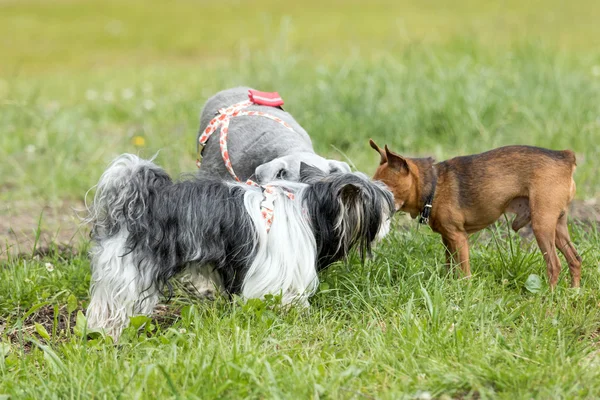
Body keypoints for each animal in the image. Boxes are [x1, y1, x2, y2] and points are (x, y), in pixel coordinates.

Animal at [85, 153, 394, 338]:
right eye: (381, 208)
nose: (391, 220)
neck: (309, 208)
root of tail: (139, 198)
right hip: (129, 269)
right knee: (113, 304)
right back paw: (108, 332)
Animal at [370, 141, 580, 288]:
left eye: (385, 187)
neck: (434, 186)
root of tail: (565, 157)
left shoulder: (458, 238)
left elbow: (464, 272)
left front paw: (466, 292)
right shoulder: (448, 239)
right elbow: (450, 267)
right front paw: (449, 287)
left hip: (542, 226)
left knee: (554, 265)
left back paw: (548, 297)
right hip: (557, 227)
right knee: (575, 259)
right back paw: (573, 292)